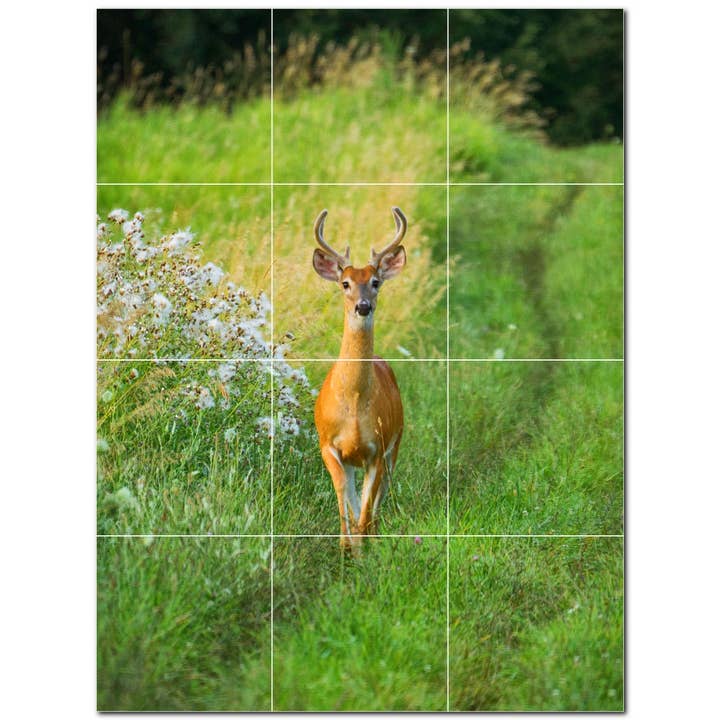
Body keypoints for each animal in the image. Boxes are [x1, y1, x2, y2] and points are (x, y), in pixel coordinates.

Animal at [312, 206, 407, 551]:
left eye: (376, 281)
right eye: (345, 283)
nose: (363, 306)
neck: (353, 402)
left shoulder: (377, 448)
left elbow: (367, 505)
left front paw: (363, 548)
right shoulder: (328, 444)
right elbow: (345, 496)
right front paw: (346, 546)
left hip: (396, 442)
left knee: (380, 495)